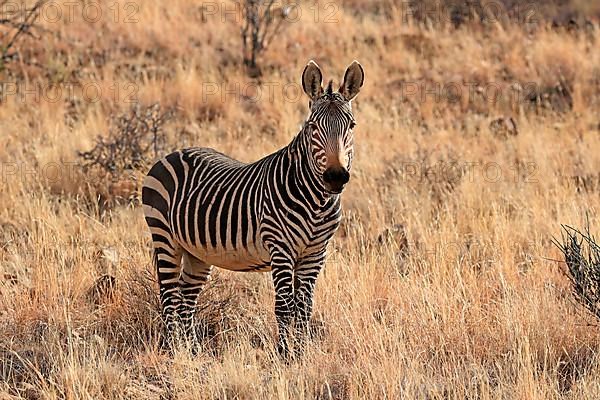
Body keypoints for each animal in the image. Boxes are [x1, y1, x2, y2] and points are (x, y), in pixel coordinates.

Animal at [142, 60, 366, 356]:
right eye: (312, 127)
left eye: (351, 125)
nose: (336, 177)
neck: (318, 202)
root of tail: (172, 153)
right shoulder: (280, 247)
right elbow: (285, 307)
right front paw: (285, 355)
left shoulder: (316, 253)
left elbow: (304, 308)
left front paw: (302, 353)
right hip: (165, 238)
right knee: (169, 298)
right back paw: (174, 352)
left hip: (196, 253)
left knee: (186, 300)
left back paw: (192, 352)